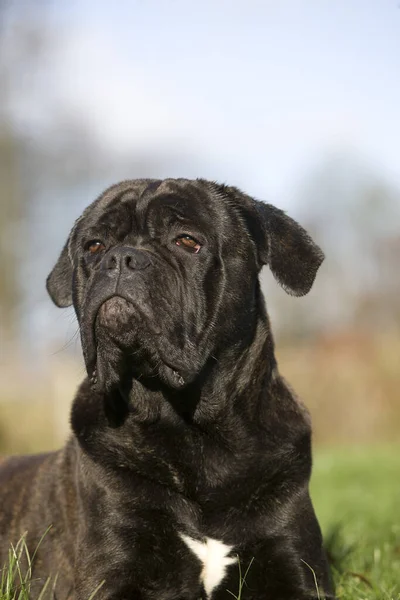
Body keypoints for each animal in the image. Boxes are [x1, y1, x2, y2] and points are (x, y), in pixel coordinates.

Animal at [0, 179, 334, 600]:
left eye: (187, 241)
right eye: (94, 246)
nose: (120, 258)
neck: (191, 428)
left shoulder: (295, 565)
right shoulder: (113, 570)